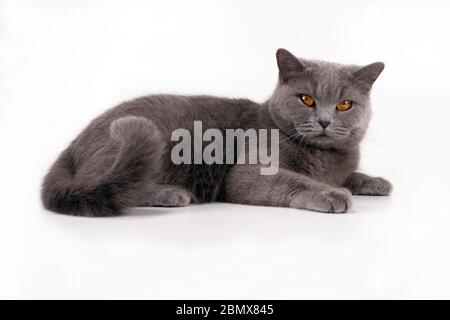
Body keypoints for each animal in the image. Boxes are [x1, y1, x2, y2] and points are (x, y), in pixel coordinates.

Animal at [41, 48, 390, 218]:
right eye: (306, 99)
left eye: (344, 104)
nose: (324, 121)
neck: (323, 158)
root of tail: (72, 145)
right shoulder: (250, 172)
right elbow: (295, 180)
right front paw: (332, 194)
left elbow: (351, 174)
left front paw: (374, 181)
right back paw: (171, 194)